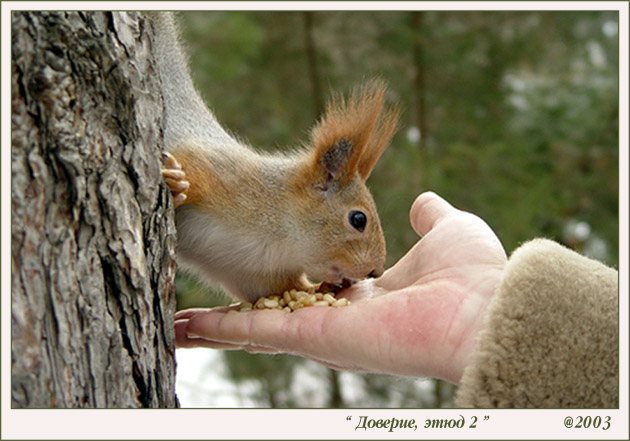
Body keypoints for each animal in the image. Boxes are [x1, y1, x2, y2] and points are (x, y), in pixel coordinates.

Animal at [151, 12, 400, 302]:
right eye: (358, 219)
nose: (376, 271)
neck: (281, 241)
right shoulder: (223, 174)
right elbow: (191, 165)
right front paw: (176, 184)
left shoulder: (252, 273)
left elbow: (281, 289)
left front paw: (320, 288)